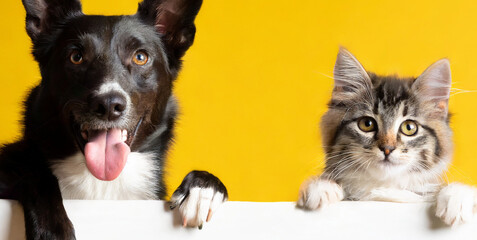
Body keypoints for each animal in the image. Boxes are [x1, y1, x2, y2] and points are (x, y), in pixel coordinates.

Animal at [0, 0, 228, 238]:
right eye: (76, 57)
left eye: (140, 57)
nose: (109, 105)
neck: (102, 182)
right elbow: (34, 171)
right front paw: (53, 231)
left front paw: (203, 189)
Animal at [298, 47, 476, 226]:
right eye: (367, 124)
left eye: (409, 127)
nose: (387, 149)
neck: (386, 187)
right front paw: (321, 187)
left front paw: (457, 198)